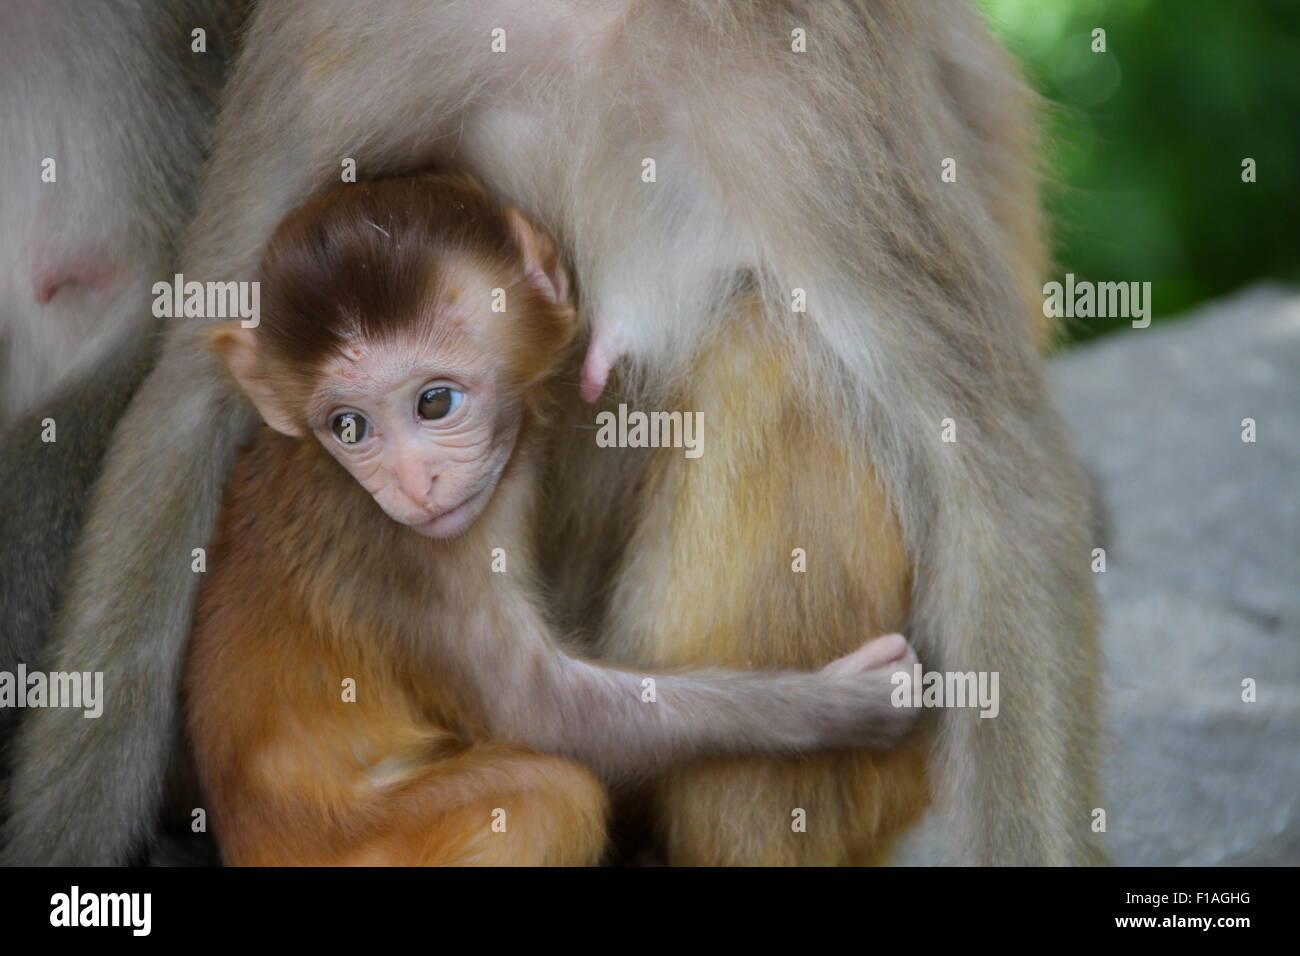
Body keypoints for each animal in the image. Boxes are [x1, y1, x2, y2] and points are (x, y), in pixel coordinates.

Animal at [185, 171, 925, 868]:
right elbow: (548, 714)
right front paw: (851, 707)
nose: (413, 484)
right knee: (553, 794)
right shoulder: (402, 561)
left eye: (434, 403)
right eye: (349, 427)